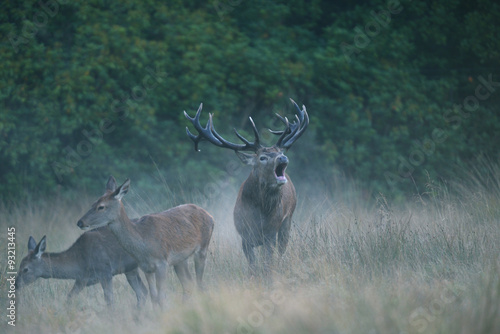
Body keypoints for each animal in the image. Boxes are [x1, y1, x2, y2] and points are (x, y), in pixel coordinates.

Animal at [15, 230, 146, 308]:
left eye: (25, 269)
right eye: (19, 266)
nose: (16, 284)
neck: (79, 265)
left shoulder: (105, 272)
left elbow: (109, 301)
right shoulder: (82, 280)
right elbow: (69, 297)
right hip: (130, 270)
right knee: (142, 292)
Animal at [77, 177, 214, 308]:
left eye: (101, 206)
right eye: (92, 203)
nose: (80, 222)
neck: (143, 244)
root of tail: (210, 216)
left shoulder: (162, 263)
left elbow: (161, 297)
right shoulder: (146, 268)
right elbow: (154, 297)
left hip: (203, 247)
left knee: (199, 283)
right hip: (180, 260)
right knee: (189, 284)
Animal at [184, 98, 308, 276]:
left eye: (280, 152)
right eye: (262, 157)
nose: (283, 157)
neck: (259, 215)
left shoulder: (271, 232)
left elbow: (267, 262)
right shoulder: (244, 235)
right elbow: (252, 264)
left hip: (287, 221)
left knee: (281, 250)